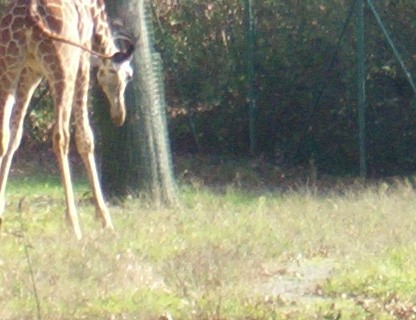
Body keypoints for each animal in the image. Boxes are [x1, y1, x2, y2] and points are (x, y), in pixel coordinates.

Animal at [0, 0, 134, 240]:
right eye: (129, 75)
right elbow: (85, 137)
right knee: (61, 135)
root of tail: (30, 13)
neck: (94, 13)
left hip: (9, 66)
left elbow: (15, 135)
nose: (119, 115)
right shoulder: (82, 61)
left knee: (3, 135)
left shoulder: (30, 71)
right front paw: (104, 219)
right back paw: (73, 224)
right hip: (63, 69)